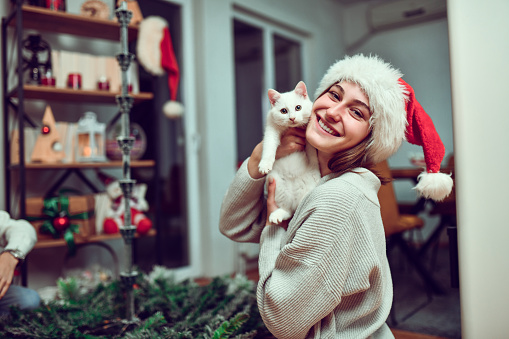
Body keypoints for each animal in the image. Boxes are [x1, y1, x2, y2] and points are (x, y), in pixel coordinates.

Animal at [260, 81, 320, 226]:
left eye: (298, 107)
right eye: (283, 111)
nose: (292, 118)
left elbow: (311, 149)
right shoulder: (271, 130)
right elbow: (269, 146)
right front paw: (265, 164)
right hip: (277, 184)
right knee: (289, 210)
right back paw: (277, 215)